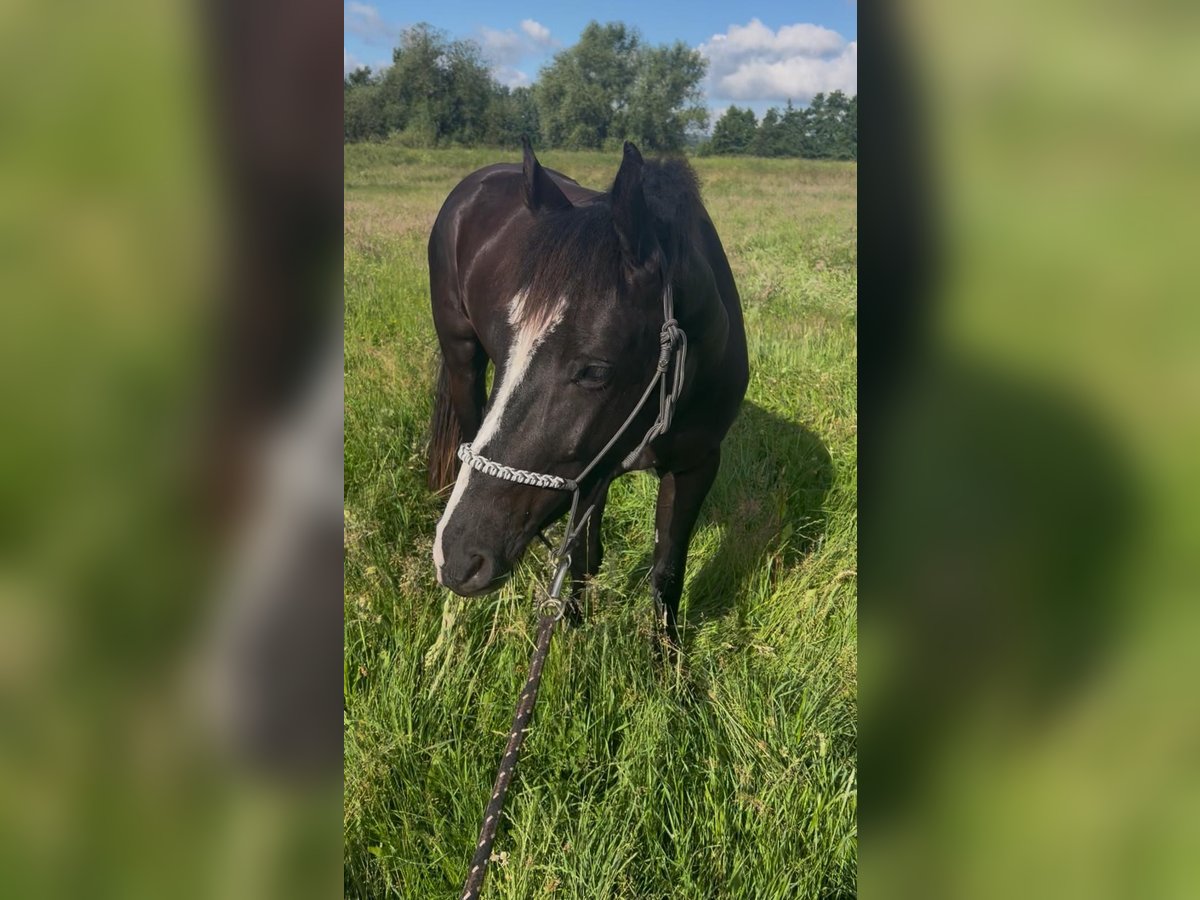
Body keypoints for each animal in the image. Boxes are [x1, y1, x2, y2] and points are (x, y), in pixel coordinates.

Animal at [427, 139, 748, 643]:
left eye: (595, 370)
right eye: (503, 348)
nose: (457, 558)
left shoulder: (693, 464)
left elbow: (666, 572)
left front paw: (668, 659)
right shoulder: (587, 471)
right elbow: (578, 556)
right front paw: (573, 630)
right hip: (462, 359)